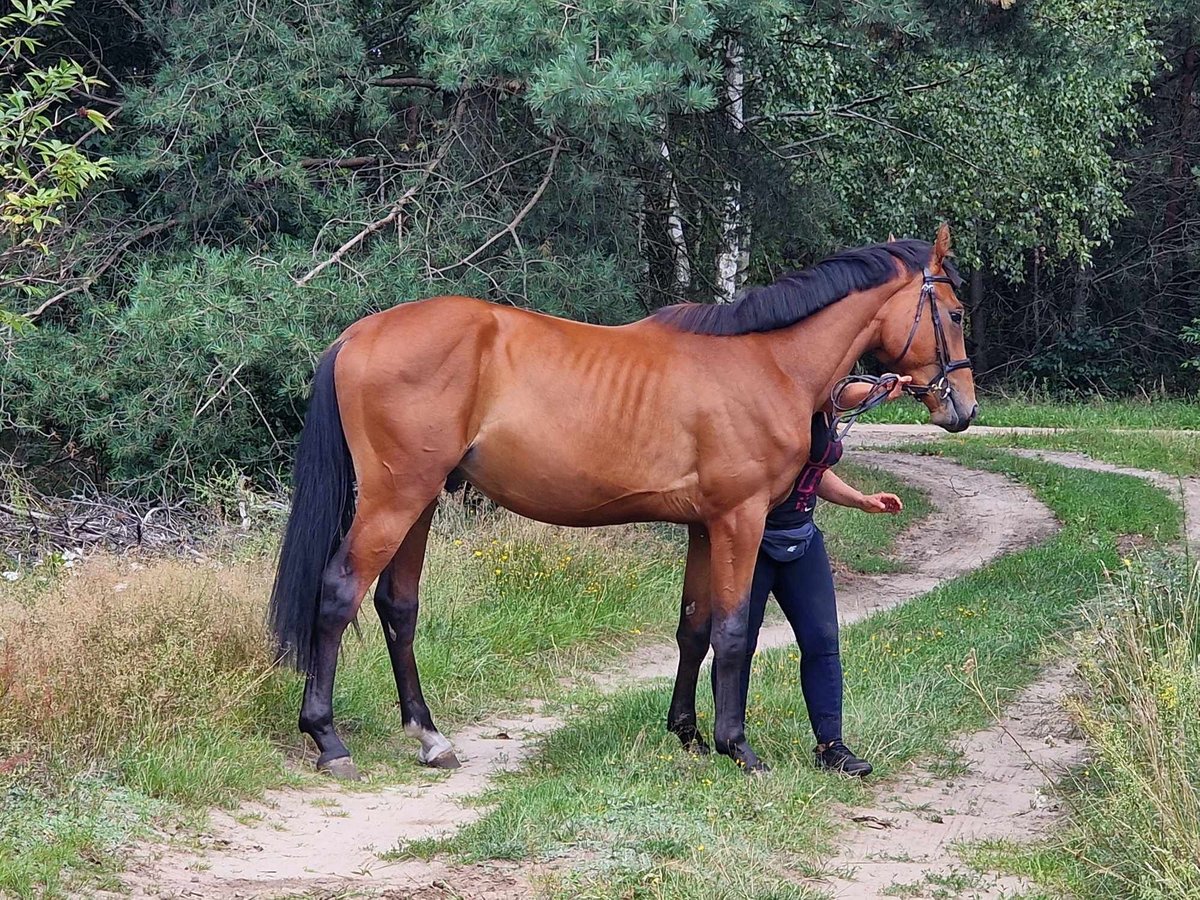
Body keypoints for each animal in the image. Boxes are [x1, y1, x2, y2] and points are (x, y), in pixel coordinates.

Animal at [269, 224, 977, 779]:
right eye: (957, 313)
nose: (964, 410)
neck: (767, 361)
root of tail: (358, 334)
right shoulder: (740, 519)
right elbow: (734, 632)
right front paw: (737, 747)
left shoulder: (703, 526)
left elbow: (694, 628)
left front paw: (688, 735)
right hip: (394, 499)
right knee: (338, 593)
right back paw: (328, 739)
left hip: (418, 503)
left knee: (398, 606)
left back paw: (429, 737)